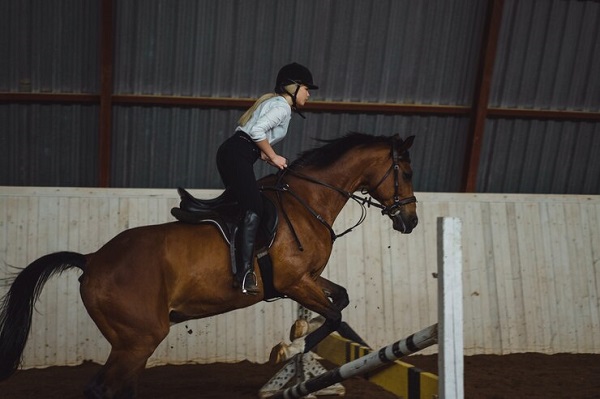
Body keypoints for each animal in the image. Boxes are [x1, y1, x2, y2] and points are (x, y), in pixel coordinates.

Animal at [0, 133, 418, 398]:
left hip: (132, 343)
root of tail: (92, 260)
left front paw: (296, 335)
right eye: (408, 173)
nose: (410, 221)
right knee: (100, 388)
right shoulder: (295, 282)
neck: (307, 202)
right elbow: (332, 315)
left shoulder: (307, 280)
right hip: (139, 339)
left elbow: (341, 300)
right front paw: (291, 346)